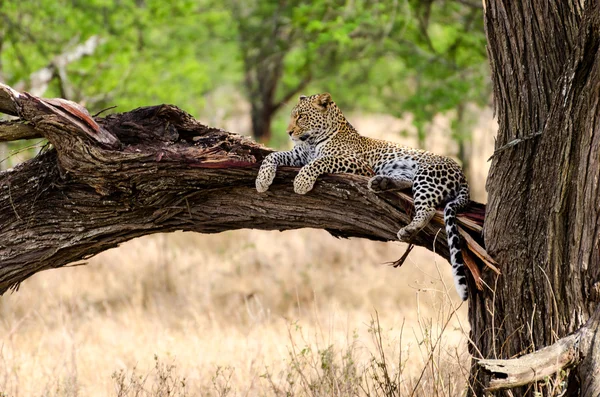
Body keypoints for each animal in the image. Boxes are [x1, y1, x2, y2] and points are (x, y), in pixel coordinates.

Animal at [255, 91, 472, 298]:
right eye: (293, 116)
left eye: (301, 117)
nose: (289, 132)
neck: (313, 141)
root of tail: (462, 174)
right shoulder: (297, 155)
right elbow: (272, 155)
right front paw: (262, 180)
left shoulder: (356, 163)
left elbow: (321, 161)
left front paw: (301, 182)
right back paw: (380, 183)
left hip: (426, 175)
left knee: (427, 209)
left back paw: (407, 229)